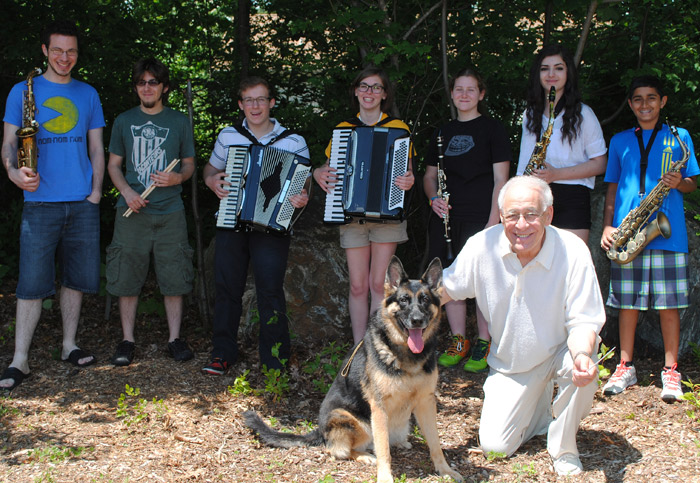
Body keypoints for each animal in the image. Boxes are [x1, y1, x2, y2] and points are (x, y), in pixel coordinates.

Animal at [245, 255, 464, 482]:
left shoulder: (426, 402)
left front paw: (445, 470)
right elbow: (383, 450)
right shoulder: (379, 408)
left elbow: (435, 443)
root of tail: (320, 431)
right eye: (404, 300)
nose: (417, 320)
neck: (406, 354)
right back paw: (365, 456)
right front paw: (385, 477)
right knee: (339, 450)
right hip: (350, 419)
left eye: (425, 300)